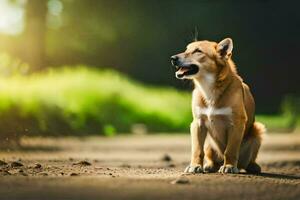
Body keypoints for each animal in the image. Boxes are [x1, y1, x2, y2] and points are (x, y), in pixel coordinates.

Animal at [171, 38, 264, 173]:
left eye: (198, 51)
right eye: (186, 49)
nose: (173, 58)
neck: (209, 89)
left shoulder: (237, 123)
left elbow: (230, 150)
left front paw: (229, 166)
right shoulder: (197, 123)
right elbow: (197, 150)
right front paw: (195, 165)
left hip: (258, 130)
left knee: (246, 161)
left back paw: (251, 166)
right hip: (209, 144)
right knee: (211, 158)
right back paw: (210, 165)